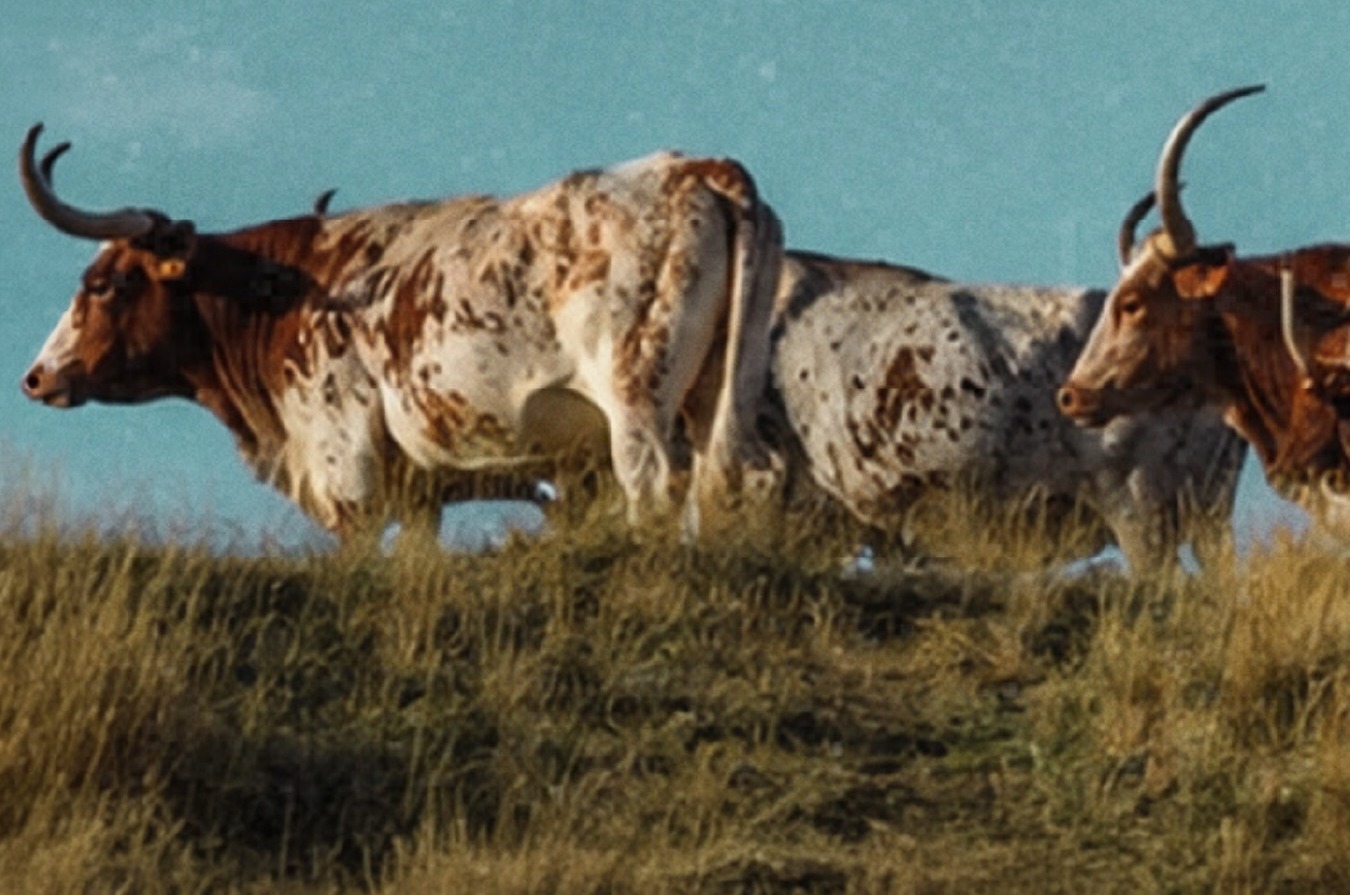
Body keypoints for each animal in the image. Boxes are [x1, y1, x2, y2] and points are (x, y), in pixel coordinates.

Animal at [17, 125, 785, 544]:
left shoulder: (345, 458)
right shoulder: (420, 489)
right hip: (720, 394)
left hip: (637, 400)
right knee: (742, 477)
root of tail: (696, 168)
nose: (37, 375)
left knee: (653, 485)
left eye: (103, 282)